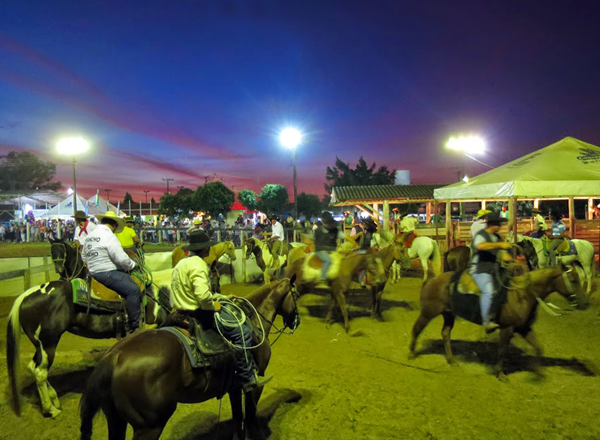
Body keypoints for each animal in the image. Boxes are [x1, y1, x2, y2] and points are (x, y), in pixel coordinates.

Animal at [6, 276, 169, 418]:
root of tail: (26, 295)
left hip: (40, 345)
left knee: (34, 368)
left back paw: (54, 400)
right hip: (48, 343)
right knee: (40, 372)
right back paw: (51, 409)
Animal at [79, 276, 300, 440]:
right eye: (296, 294)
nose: (296, 321)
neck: (254, 319)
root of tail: (114, 356)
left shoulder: (234, 387)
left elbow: (238, 420)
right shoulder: (252, 385)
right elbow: (250, 416)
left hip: (116, 420)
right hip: (149, 426)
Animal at [410, 264, 588, 378]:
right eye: (573, 280)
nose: (585, 303)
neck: (522, 294)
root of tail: (432, 280)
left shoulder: (523, 328)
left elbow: (538, 347)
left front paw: (537, 372)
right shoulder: (507, 329)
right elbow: (502, 350)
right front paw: (500, 373)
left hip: (448, 314)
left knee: (445, 333)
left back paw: (452, 360)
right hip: (428, 312)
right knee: (416, 329)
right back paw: (411, 353)